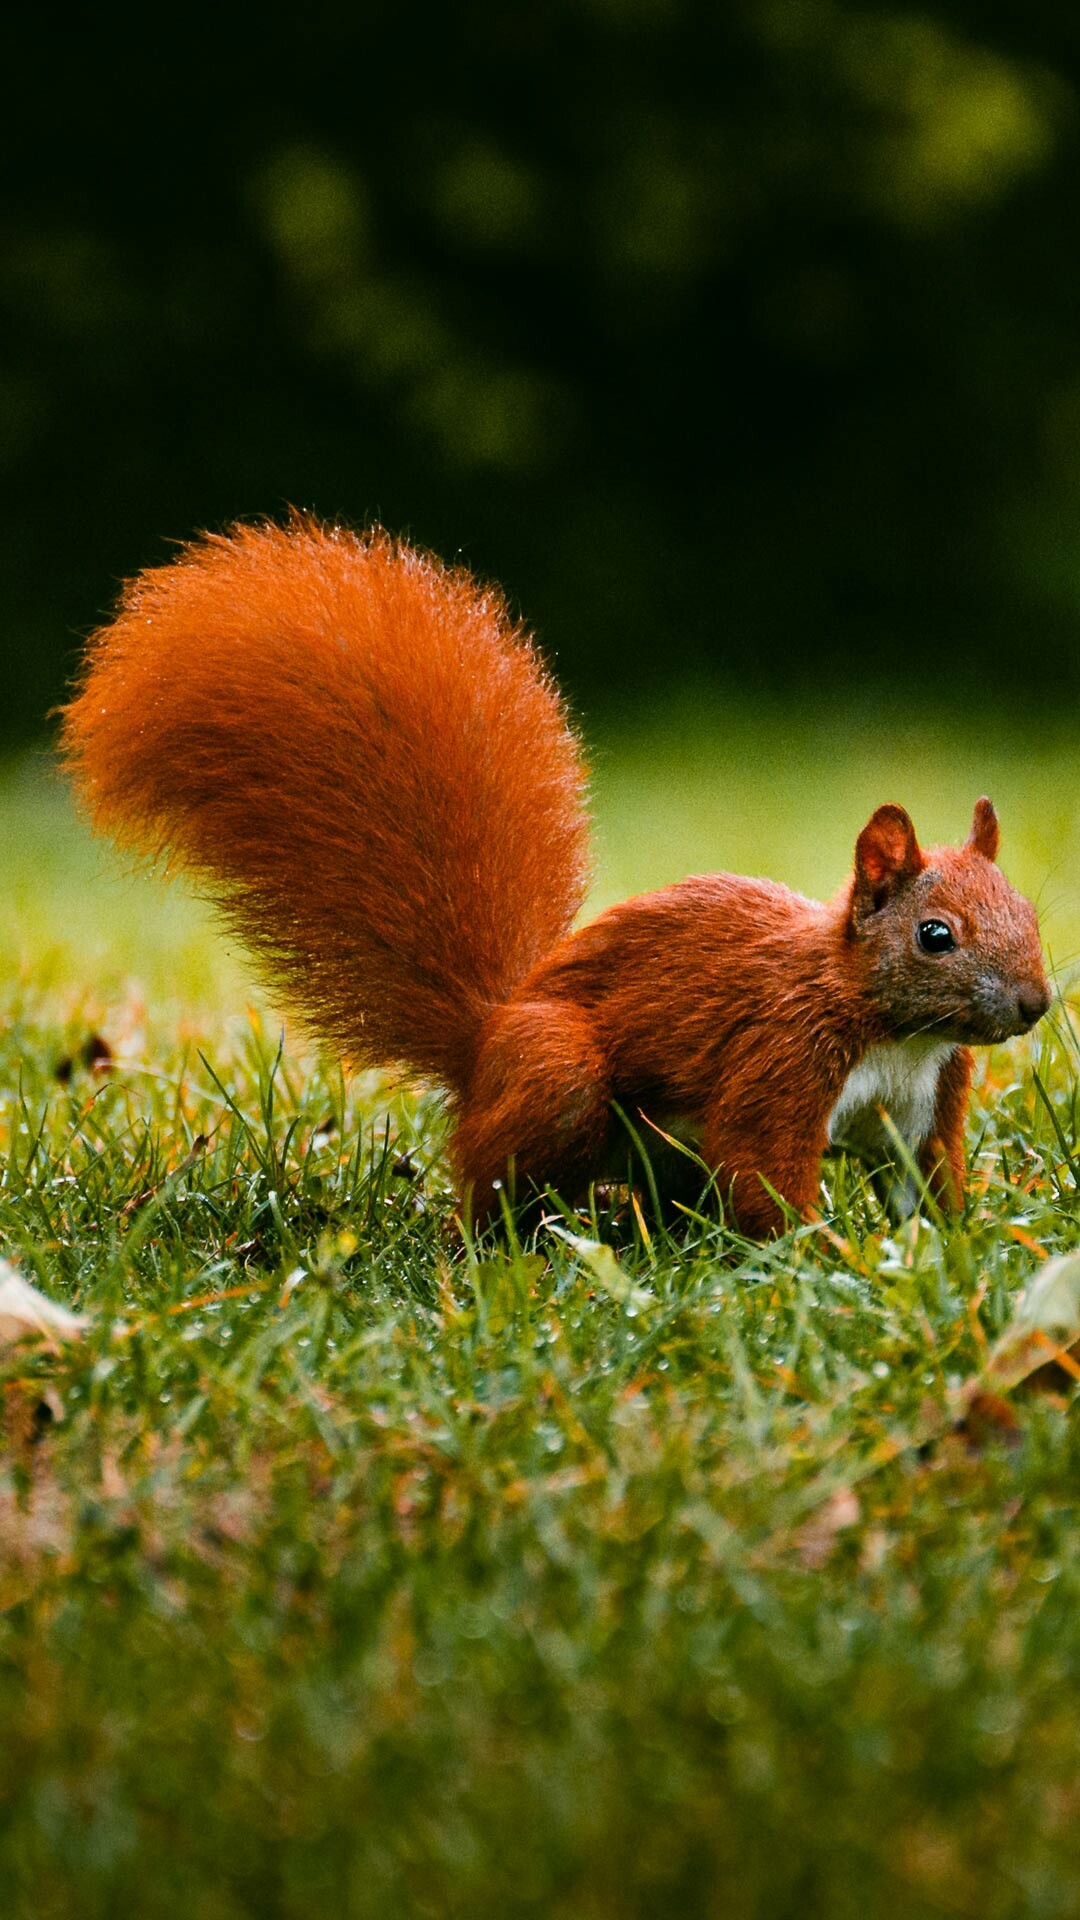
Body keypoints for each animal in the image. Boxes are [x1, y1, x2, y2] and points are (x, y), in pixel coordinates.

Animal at [62, 516, 1051, 1237]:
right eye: (935, 936)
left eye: (1031, 915)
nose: (1036, 1004)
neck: (891, 1030)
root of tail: (485, 1040)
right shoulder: (781, 1061)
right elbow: (763, 1175)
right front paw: (814, 1257)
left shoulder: (924, 1106)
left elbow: (927, 1191)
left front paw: (955, 1252)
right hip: (559, 1079)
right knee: (492, 1189)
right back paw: (512, 1247)